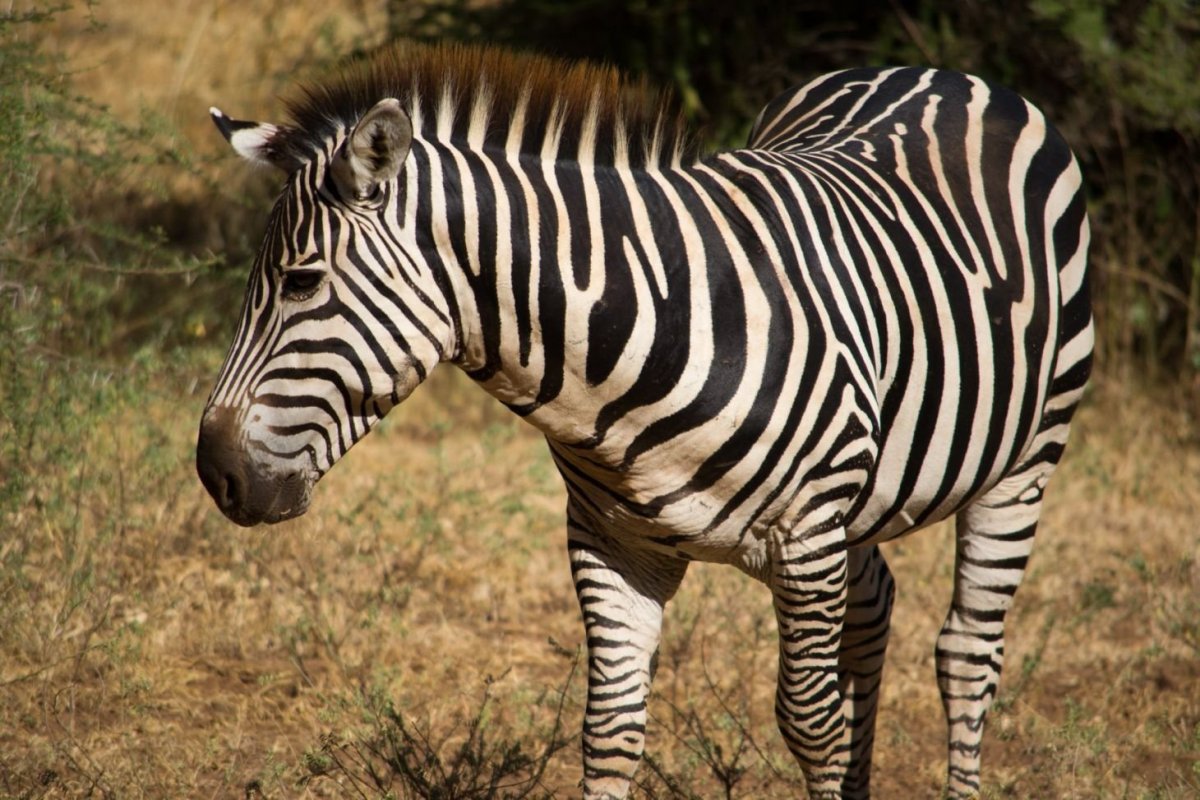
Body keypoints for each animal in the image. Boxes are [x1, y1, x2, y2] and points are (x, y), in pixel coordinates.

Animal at [196, 43, 1092, 799]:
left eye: (303, 281)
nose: (215, 473)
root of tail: (939, 71)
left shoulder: (806, 540)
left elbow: (811, 726)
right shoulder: (614, 542)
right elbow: (610, 730)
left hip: (1024, 464)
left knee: (966, 656)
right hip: (863, 494)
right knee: (875, 606)